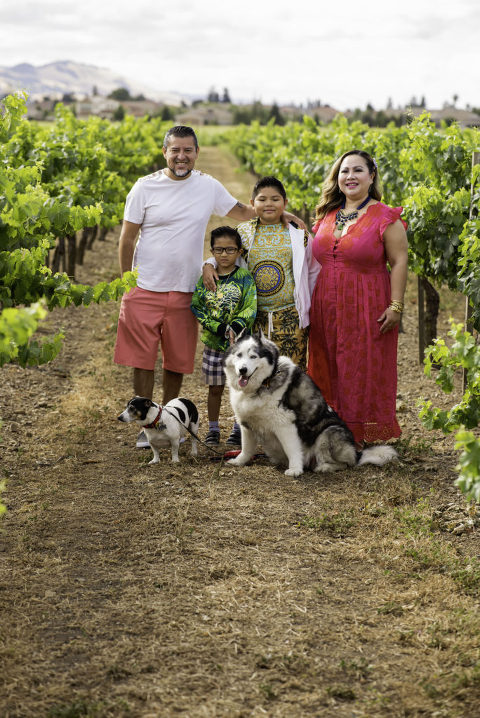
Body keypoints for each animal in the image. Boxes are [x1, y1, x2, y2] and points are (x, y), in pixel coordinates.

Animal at [225, 332, 398, 478]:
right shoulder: (247, 425)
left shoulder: (284, 424)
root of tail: (357, 453)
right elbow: (246, 448)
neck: (266, 380)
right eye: (239, 355)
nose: (242, 370)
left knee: (345, 463)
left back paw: (325, 467)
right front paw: (239, 461)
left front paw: (295, 469)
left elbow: (292, 449)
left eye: (253, 356)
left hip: (329, 432)